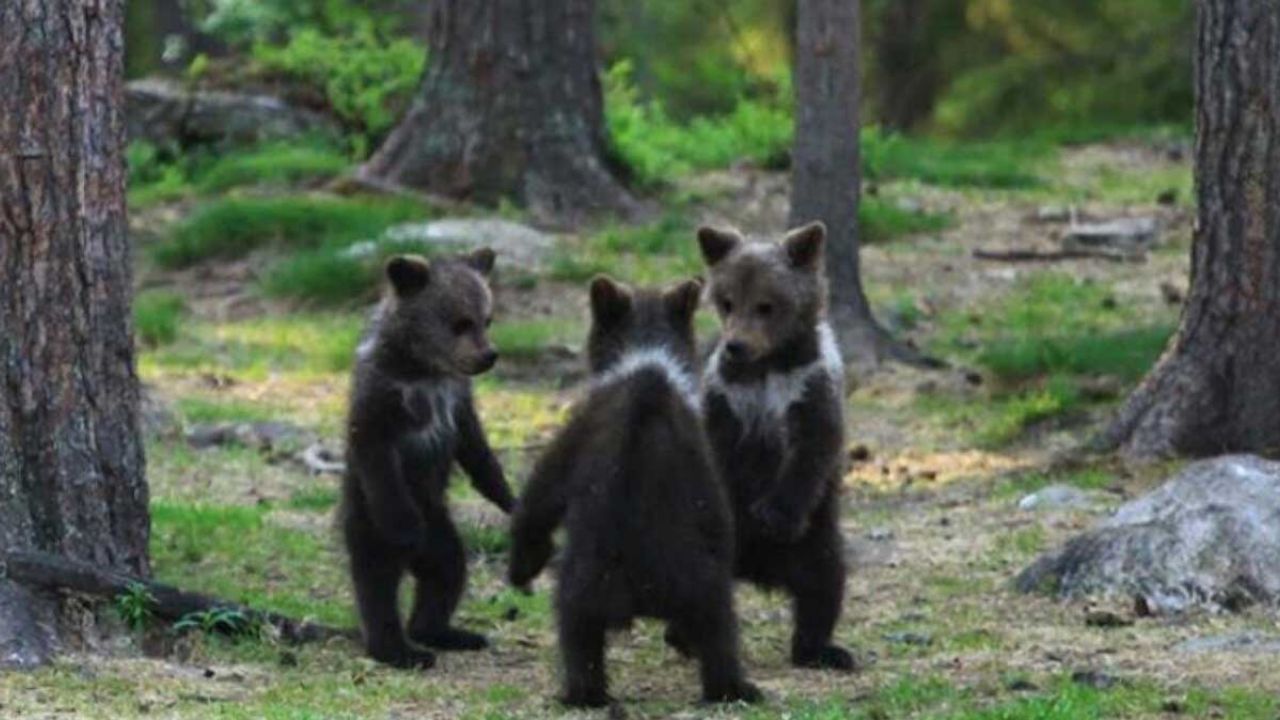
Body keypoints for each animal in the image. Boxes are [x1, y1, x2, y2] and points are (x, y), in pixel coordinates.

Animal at [341, 249, 515, 670]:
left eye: (487, 318)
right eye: (460, 322)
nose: (489, 355)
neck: (423, 370)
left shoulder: (456, 401)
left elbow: (477, 450)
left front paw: (507, 496)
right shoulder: (381, 402)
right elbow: (377, 456)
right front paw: (405, 524)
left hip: (440, 528)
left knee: (448, 569)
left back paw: (444, 632)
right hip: (368, 521)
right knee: (376, 583)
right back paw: (398, 650)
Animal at [508, 276, 762, 708]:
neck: (647, 363)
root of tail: (638, 590)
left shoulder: (575, 438)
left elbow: (539, 498)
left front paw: (521, 567)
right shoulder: (703, 465)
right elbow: (721, 523)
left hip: (583, 581)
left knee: (577, 634)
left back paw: (583, 693)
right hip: (701, 580)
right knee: (720, 628)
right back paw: (731, 686)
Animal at [693, 222, 855, 671]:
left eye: (766, 305)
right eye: (727, 301)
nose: (736, 345)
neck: (767, 367)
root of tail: (756, 568)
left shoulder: (808, 389)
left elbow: (810, 451)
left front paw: (774, 514)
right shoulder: (727, 397)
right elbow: (714, 450)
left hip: (814, 539)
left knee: (824, 583)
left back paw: (823, 651)